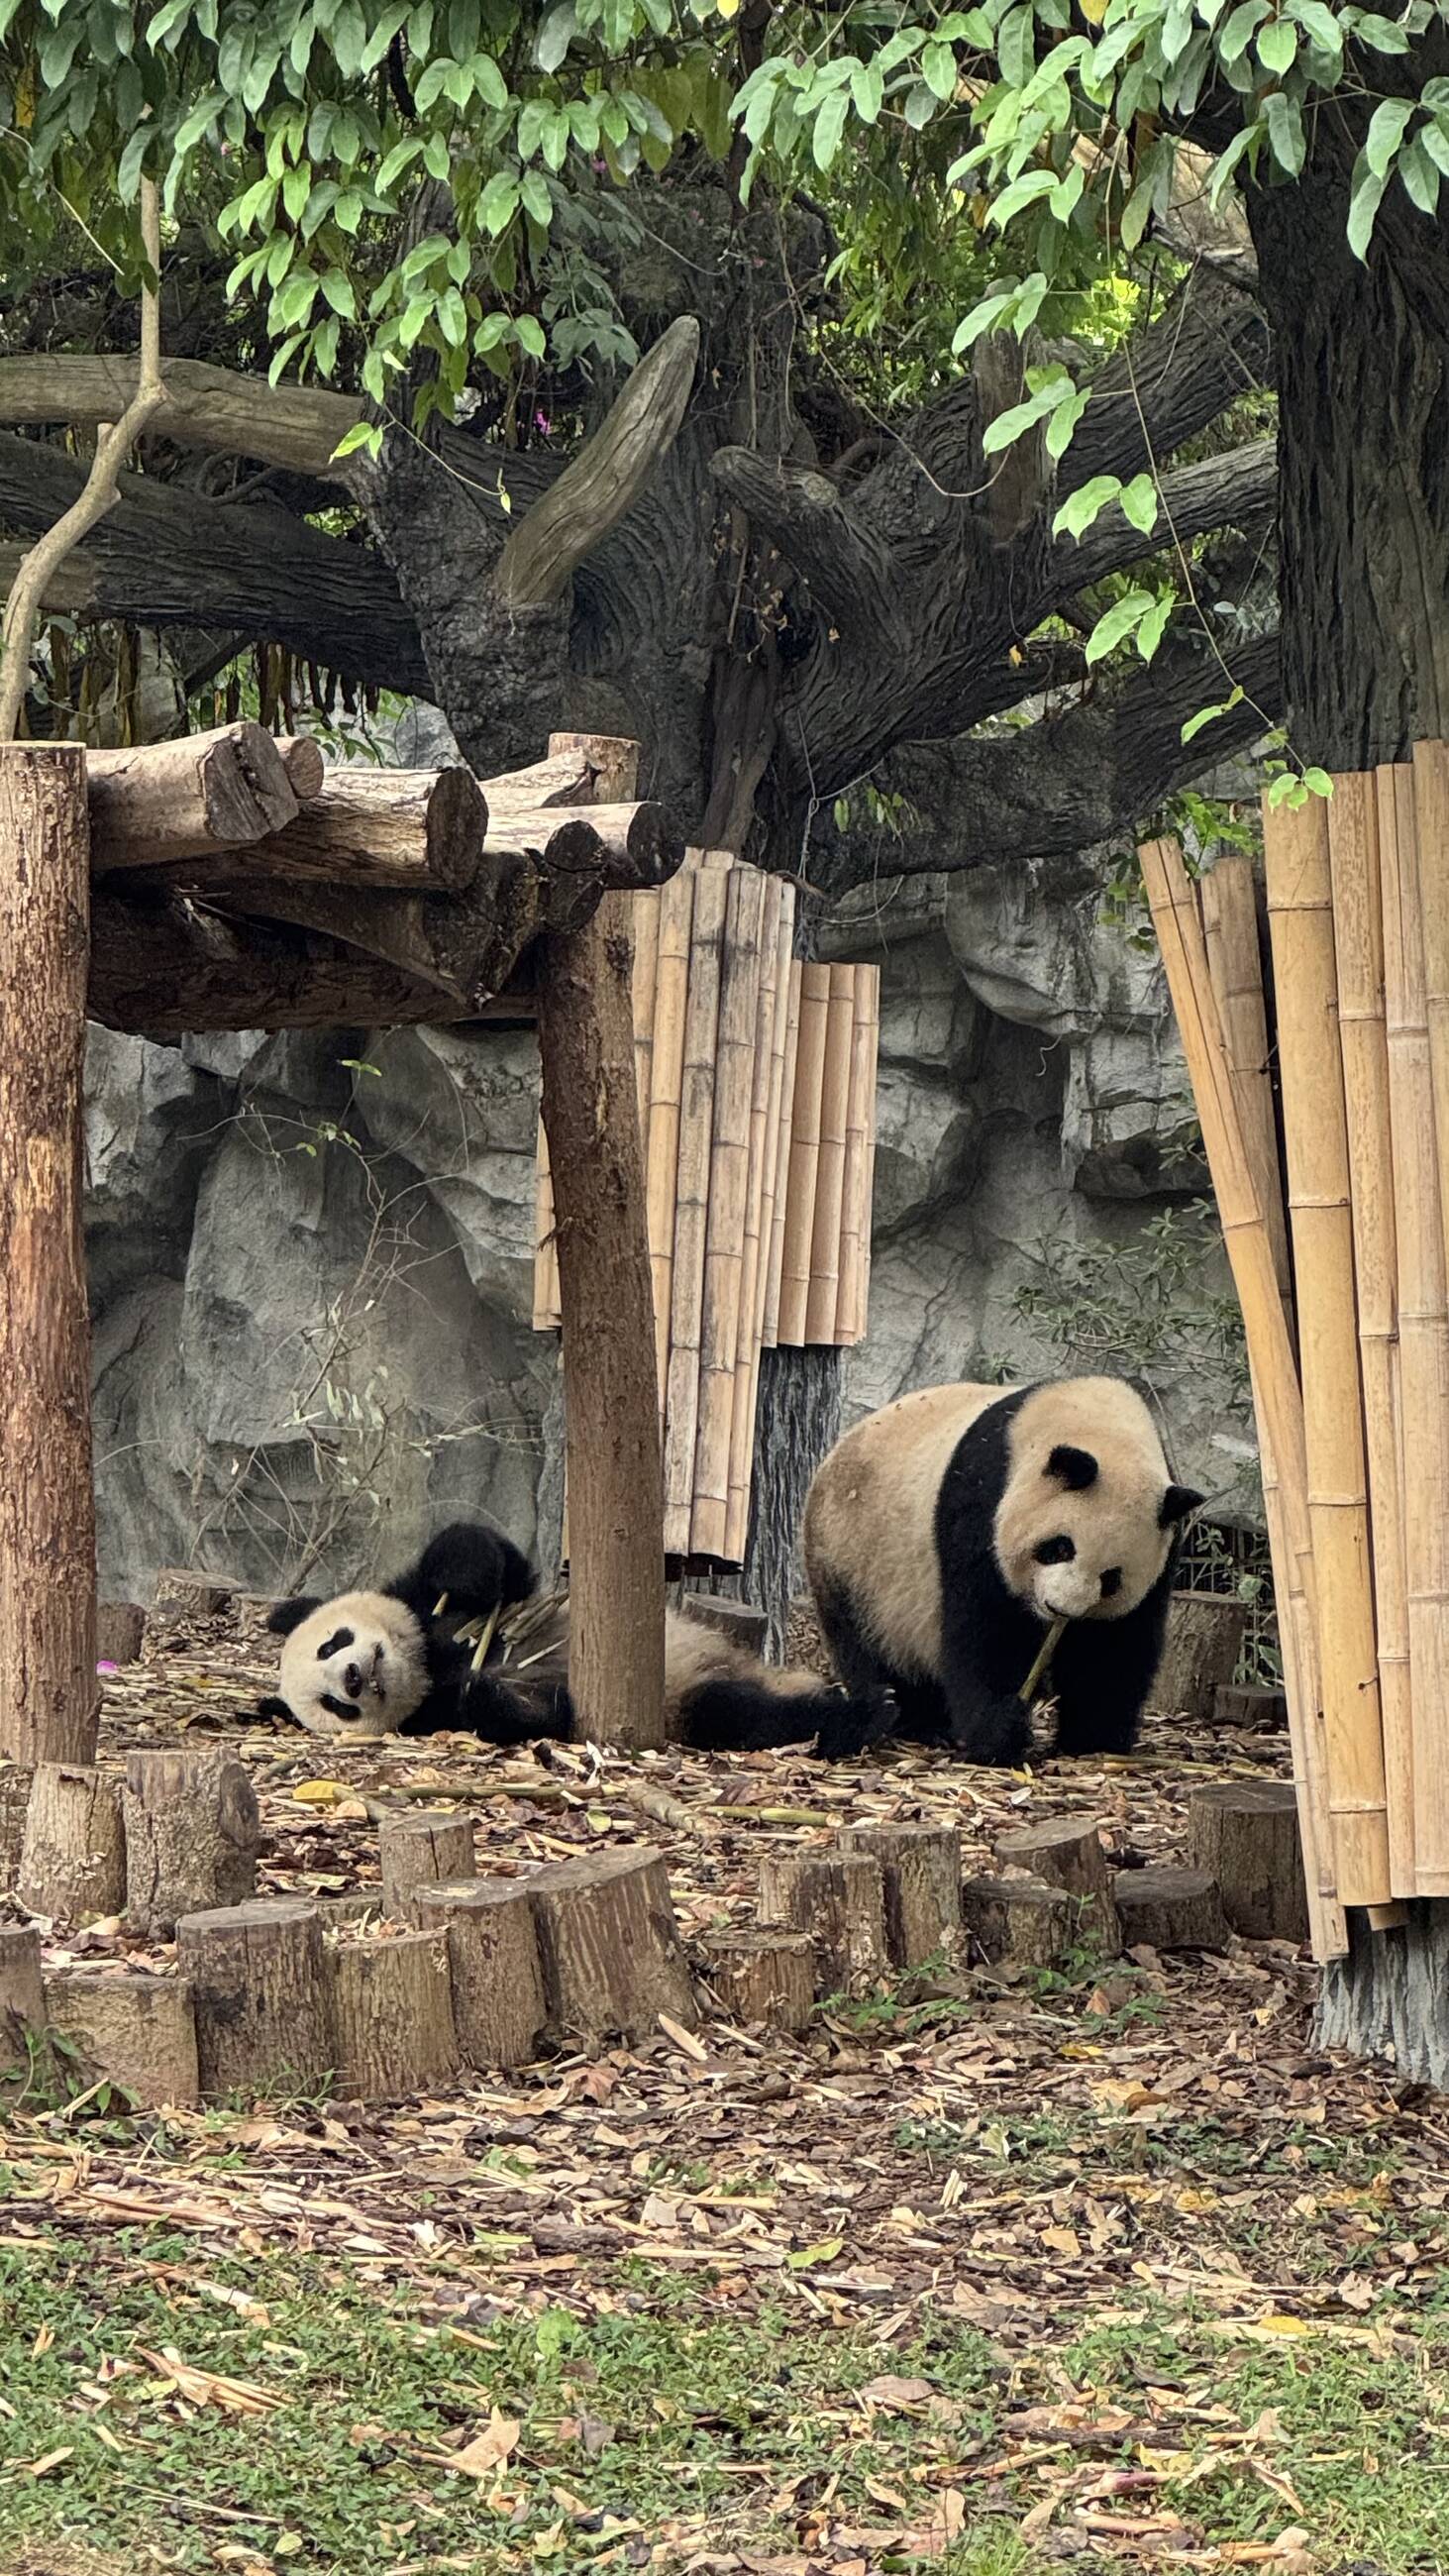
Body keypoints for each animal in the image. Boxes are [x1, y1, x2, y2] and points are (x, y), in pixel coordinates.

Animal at [259, 1515, 892, 1758]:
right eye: (335, 1706)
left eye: (330, 1643)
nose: (353, 1676)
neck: (429, 1665)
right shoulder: (434, 1713)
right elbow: (531, 1714)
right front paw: (489, 1693)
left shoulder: (426, 1602)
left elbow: (492, 1566)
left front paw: (466, 1573)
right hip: (685, 1706)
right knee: (743, 1714)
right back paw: (861, 1713)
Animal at [803, 1375, 1202, 1767]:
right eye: (1060, 1548)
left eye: (1112, 1578)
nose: (1060, 1608)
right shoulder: (981, 1502)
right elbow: (987, 1629)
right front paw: (1002, 1731)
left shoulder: (1165, 1549)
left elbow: (1112, 1643)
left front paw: (1094, 1740)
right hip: (852, 1559)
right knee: (869, 1646)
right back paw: (908, 1718)